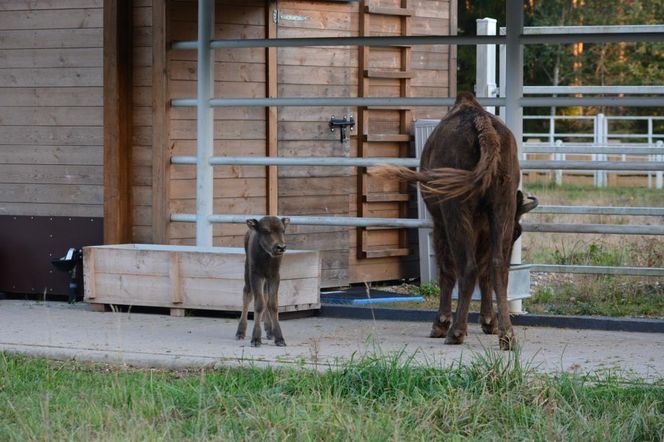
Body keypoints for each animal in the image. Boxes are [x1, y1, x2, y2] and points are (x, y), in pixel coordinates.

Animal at [239, 216, 290, 348]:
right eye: (266, 231)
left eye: (283, 231)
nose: (281, 247)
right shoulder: (256, 275)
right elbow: (259, 304)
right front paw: (256, 339)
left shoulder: (274, 277)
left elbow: (272, 304)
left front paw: (279, 338)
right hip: (247, 273)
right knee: (247, 295)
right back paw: (240, 332)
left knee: (266, 296)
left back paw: (269, 331)